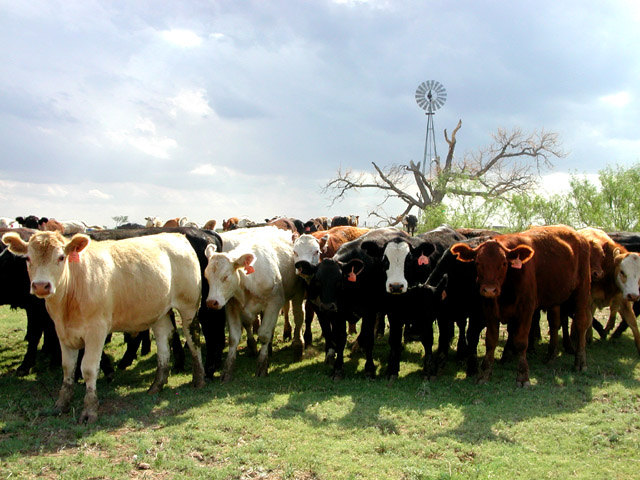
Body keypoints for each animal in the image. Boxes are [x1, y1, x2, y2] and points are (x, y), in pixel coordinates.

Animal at [0, 232, 205, 424]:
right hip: (159, 312)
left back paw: (198, 379)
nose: (41, 286)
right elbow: (67, 368)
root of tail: (176, 236)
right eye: (28, 258)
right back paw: (156, 385)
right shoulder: (62, 332)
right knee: (163, 344)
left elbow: (89, 369)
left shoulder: (96, 331)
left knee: (193, 338)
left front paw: (89, 409)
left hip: (188, 306)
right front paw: (61, 403)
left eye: (61, 257)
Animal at [450, 225, 592, 386]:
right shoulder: (489, 310)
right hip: (556, 297)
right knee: (555, 324)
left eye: (504, 263)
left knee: (581, 324)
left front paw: (523, 376)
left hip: (582, 291)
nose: (490, 290)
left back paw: (580, 362)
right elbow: (490, 341)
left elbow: (521, 342)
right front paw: (485, 374)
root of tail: (578, 236)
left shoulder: (526, 310)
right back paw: (551, 356)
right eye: (477, 263)